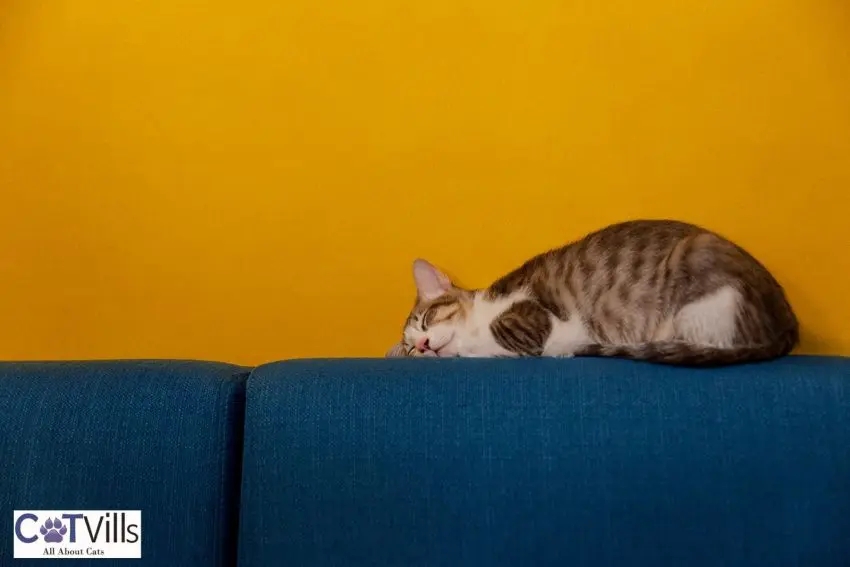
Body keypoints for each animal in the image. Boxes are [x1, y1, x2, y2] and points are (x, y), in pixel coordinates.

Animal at [388, 220, 800, 366]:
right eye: (409, 349)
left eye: (425, 319)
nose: (422, 345)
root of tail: (788, 324)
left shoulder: (531, 316)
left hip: (701, 280)